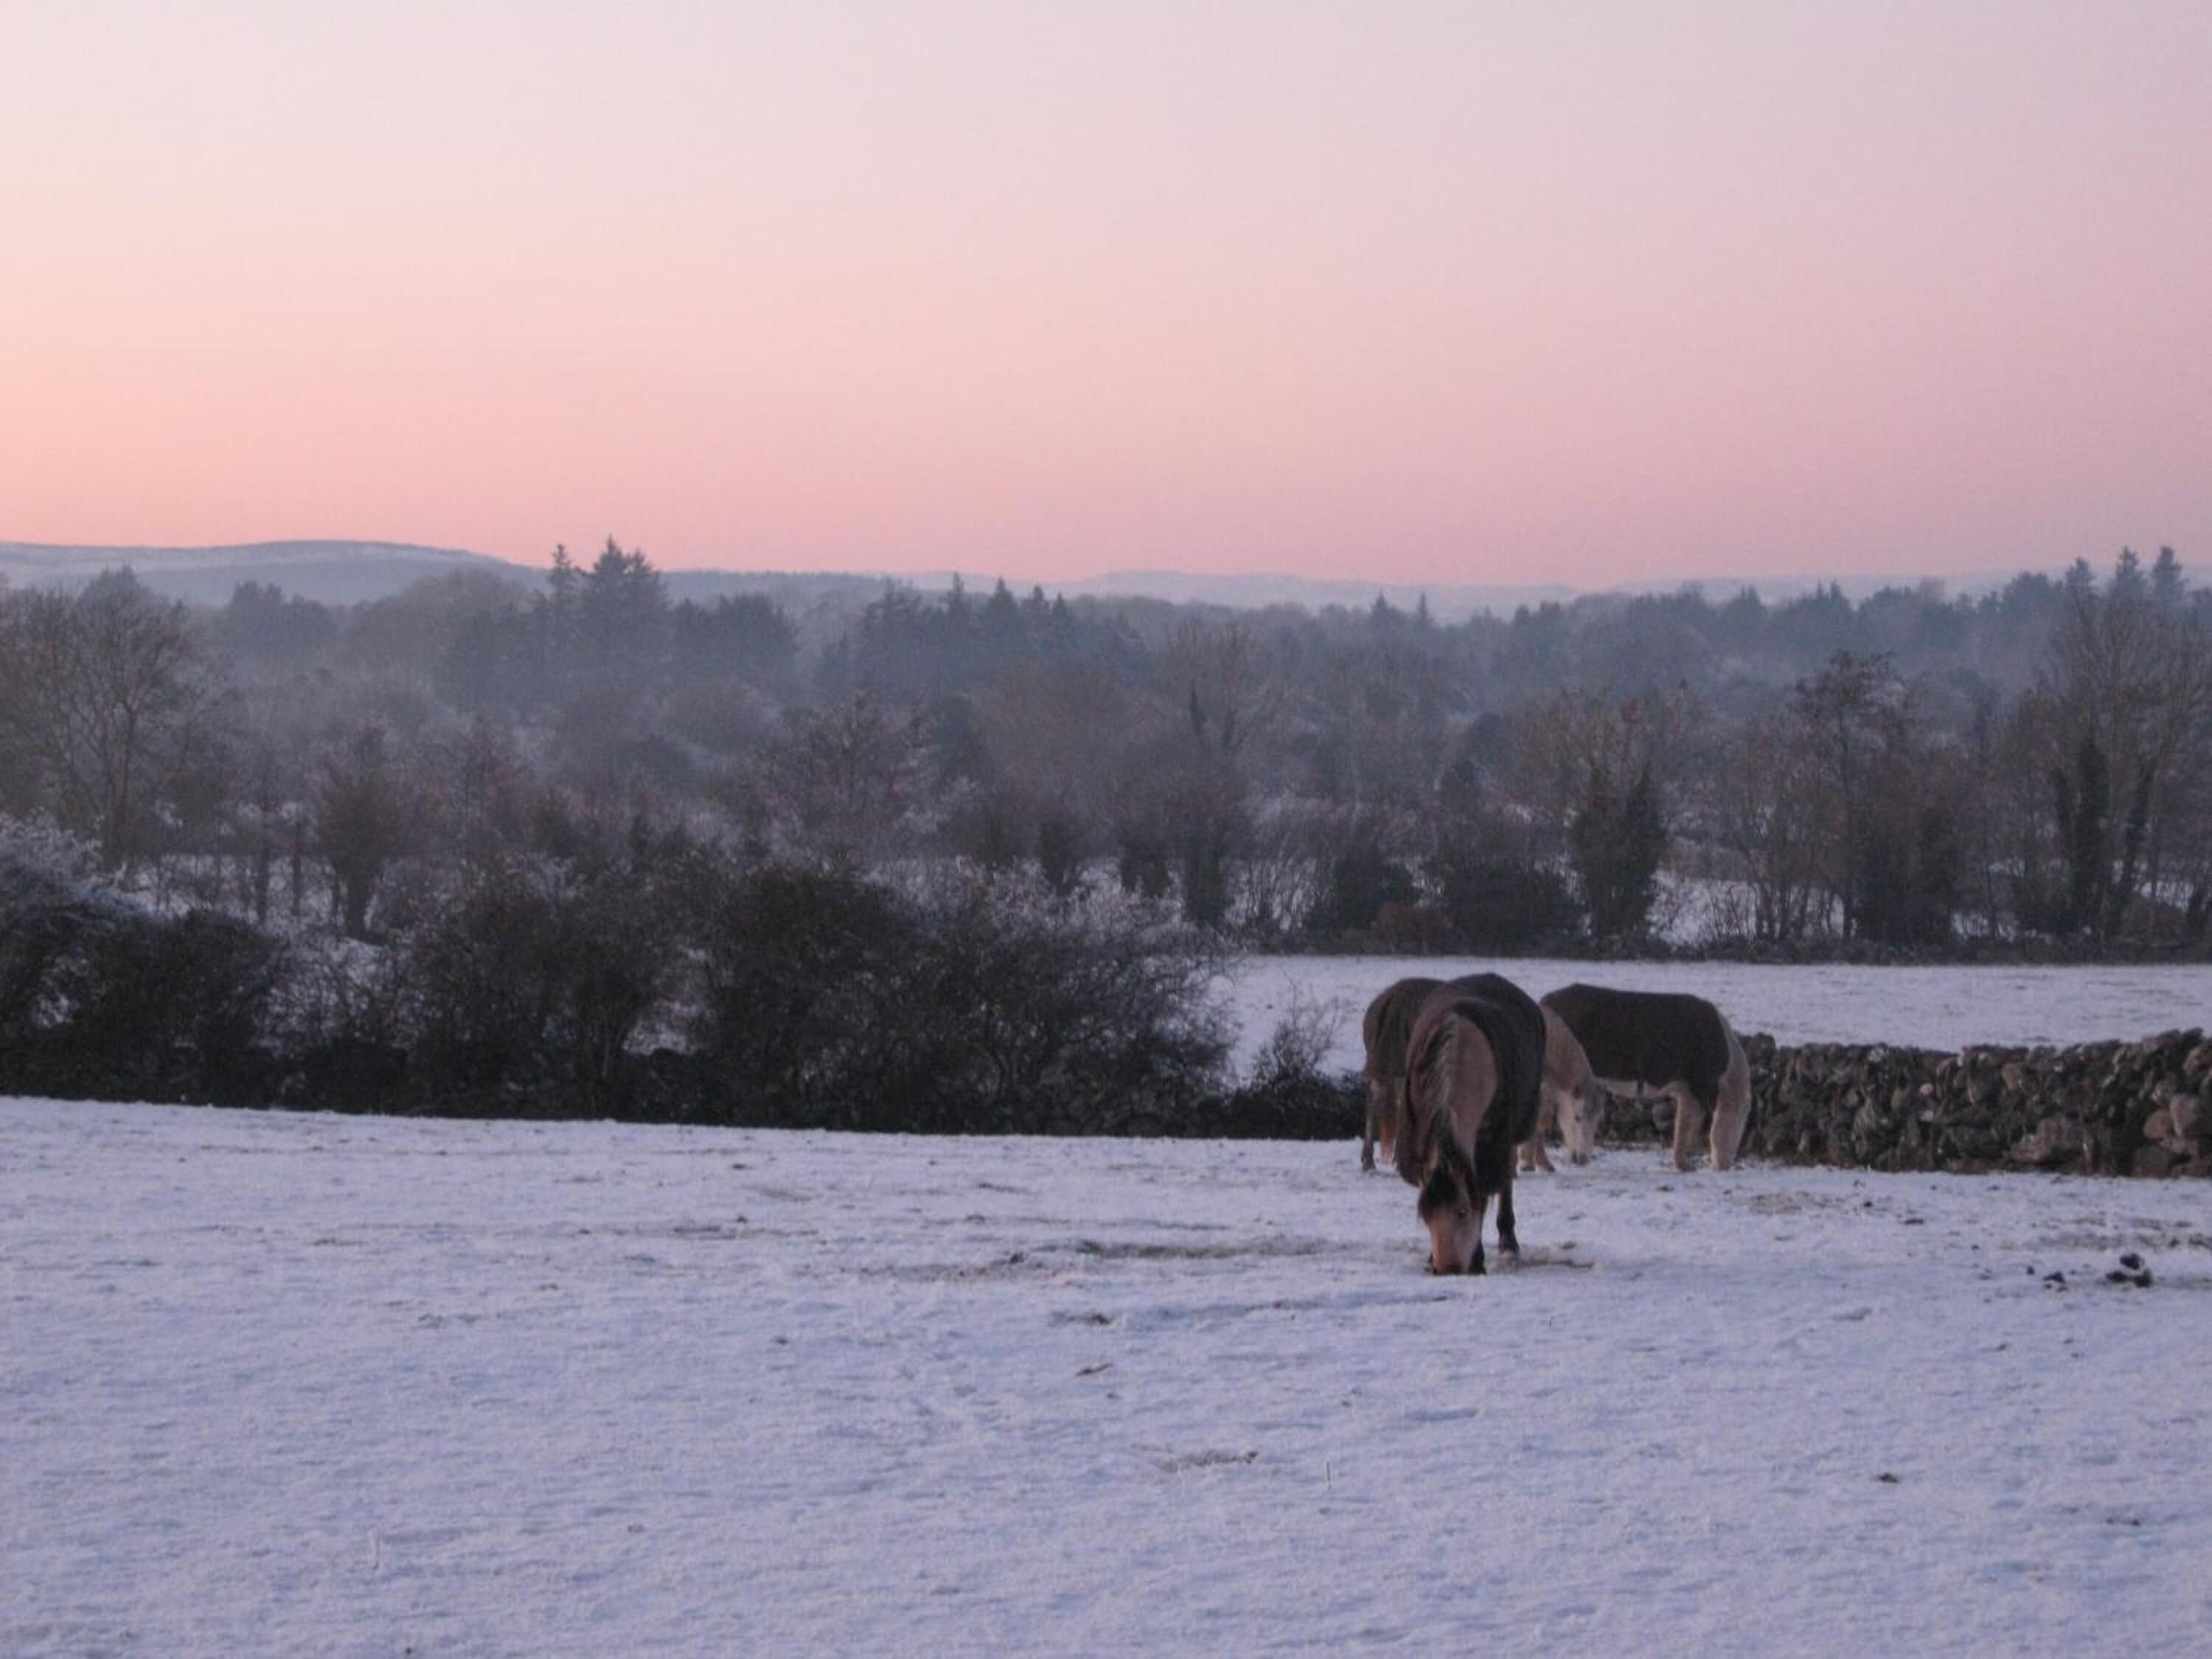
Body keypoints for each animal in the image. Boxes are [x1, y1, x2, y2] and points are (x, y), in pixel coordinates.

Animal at [1393, 973, 1547, 1274]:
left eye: (1463, 1211)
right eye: (1426, 1215)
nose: (1447, 1268)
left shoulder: (1493, 1141)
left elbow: (1484, 1194)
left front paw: (1478, 1259)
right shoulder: (1419, 1136)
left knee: (1507, 1176)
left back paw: (1509, 1242)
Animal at [1539, 983, 1751, 1172]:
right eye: (1740, 1124)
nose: (1724, 1166)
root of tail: (1545, 1002)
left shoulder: (1687, 1091)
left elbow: (1683, 1125)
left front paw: (1683, 1166)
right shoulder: (1702, 1087)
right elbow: (1698, 1125)